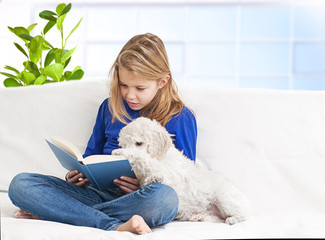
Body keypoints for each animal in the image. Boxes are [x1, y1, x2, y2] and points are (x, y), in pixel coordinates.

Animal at [112, 117, 252, 224]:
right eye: (124, 144)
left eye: (139, 143)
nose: (123, 150)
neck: (161, 156)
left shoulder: (171, 174)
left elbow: (148, 161)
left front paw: (123, 154)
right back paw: (198, 216)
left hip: (224, 198)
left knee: (243, 216)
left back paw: (233, 219)